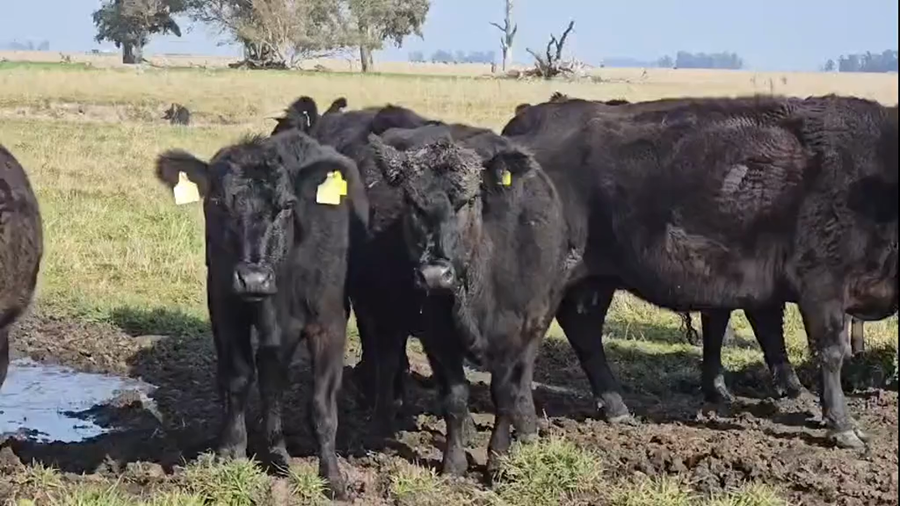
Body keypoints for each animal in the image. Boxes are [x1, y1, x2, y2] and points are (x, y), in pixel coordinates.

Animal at [153, 129, 368, 498]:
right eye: (217, 203)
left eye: (286, 206)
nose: (253, 278)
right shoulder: (225, 307)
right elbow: (238, 378)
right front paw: (232, 452)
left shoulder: (330, 324)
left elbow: (322, 405)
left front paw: (333, 477)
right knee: (269, 377)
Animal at [502, 93, 898, 449]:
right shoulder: (821, 286)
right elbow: (830, 353)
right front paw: (843, 427)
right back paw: (526, 431)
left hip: (593, 281)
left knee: (583, 330)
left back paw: (615, 408)